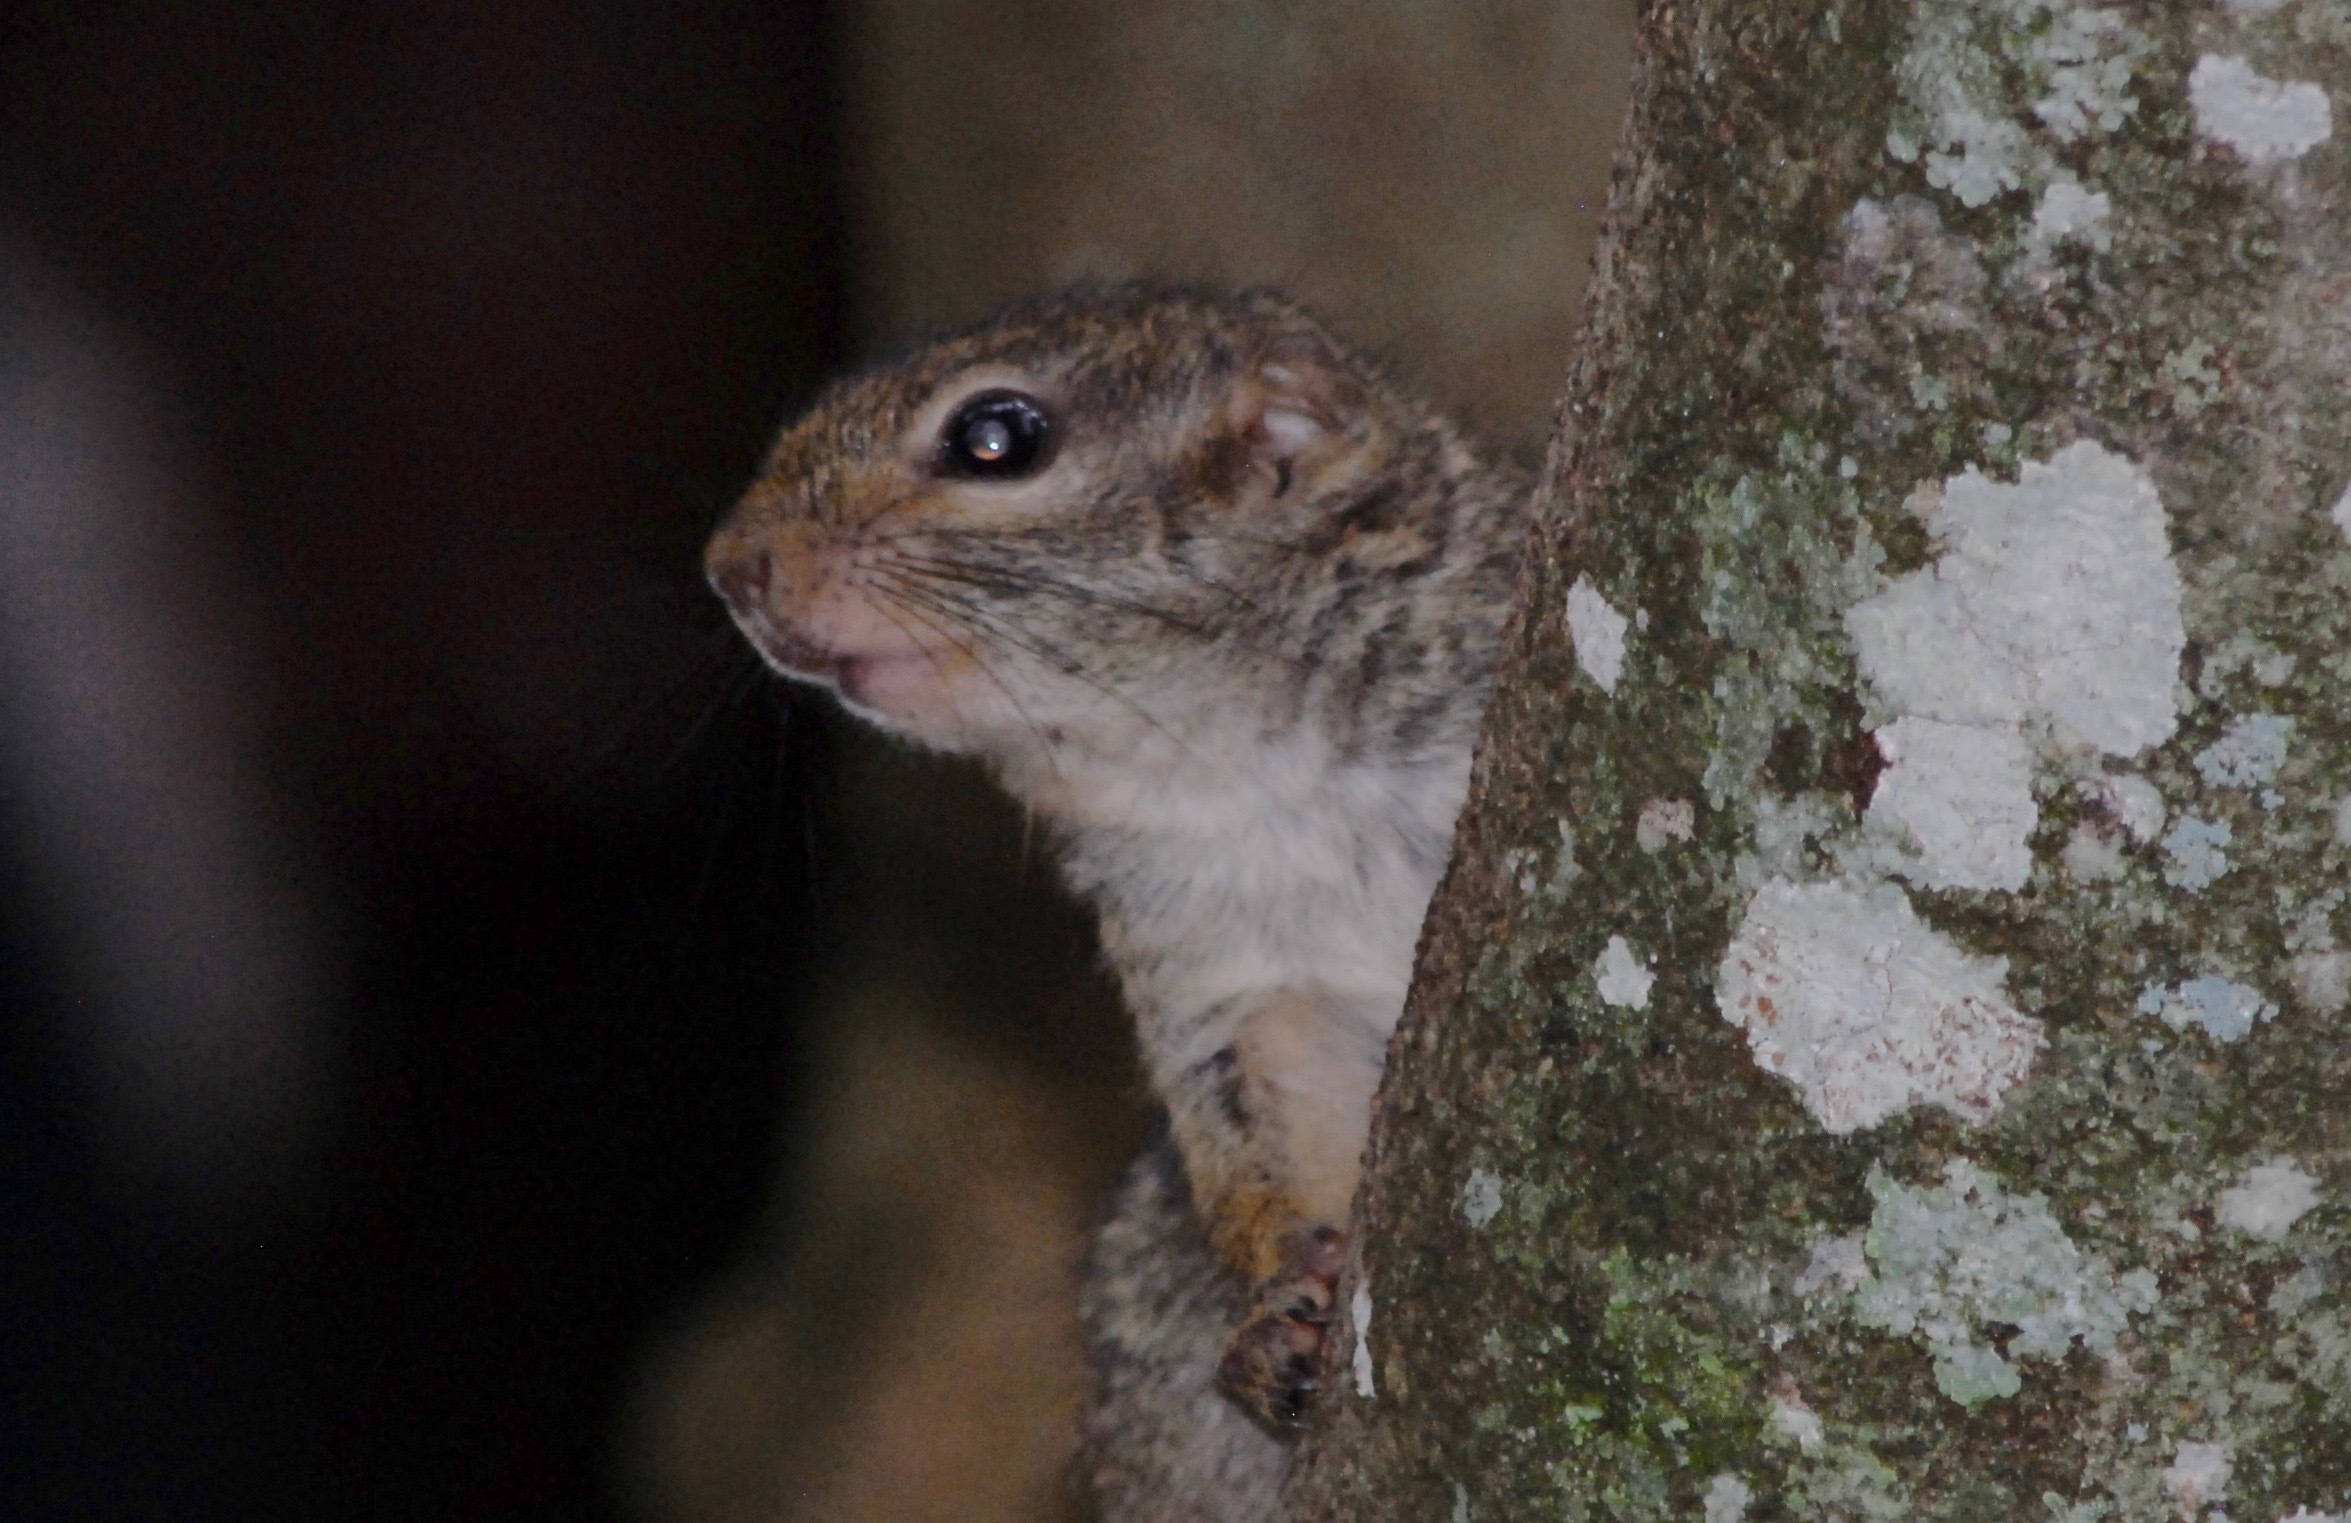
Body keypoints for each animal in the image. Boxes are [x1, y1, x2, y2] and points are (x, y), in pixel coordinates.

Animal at [705, 282, 1532, 1513]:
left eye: (994, 438)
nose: (732, 567)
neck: (1245, 764)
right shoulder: (1220, 974)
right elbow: (1262, 1120)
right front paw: (1281, 1303)